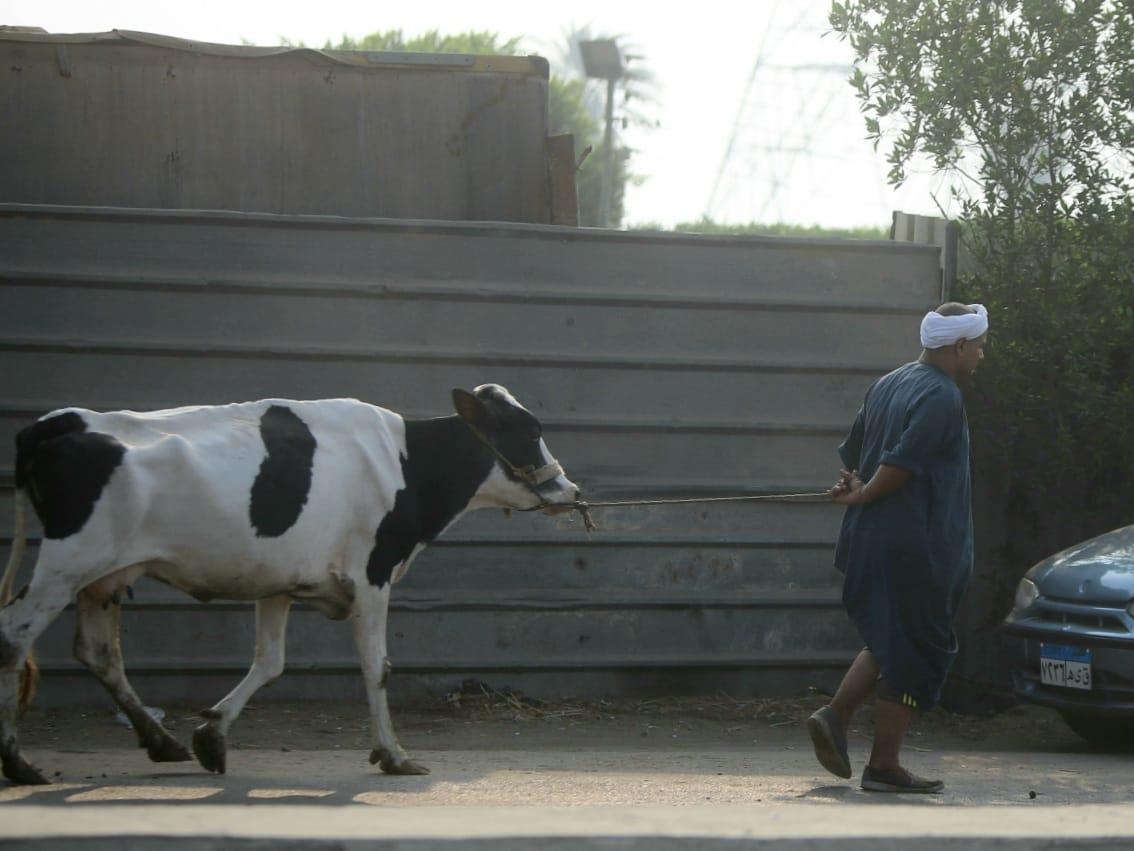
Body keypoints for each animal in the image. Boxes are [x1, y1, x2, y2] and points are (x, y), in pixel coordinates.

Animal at [0, 385, 580, 785]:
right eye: (528, 431)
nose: (570, 489)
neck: (406, 463)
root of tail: (56, 423)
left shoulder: (278, 582)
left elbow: (270, 662)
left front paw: (211, 735)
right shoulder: (372, 574)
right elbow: (377, 667)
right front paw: (394, 755)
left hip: (102, 577)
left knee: (99, 652)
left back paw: (162, 742)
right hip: (67, 562)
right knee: (15, 635)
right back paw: (18, 761)